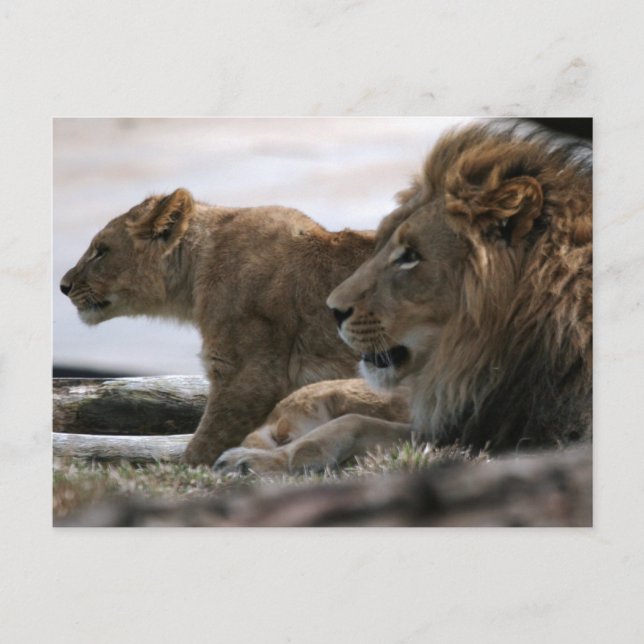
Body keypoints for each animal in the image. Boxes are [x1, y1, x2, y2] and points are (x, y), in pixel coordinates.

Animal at [214, 121, 592, 475]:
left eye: (410, 256)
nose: (332, 310)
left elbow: (348, 423)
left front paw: (256, 459)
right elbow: (354, 423)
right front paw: (253, 458)